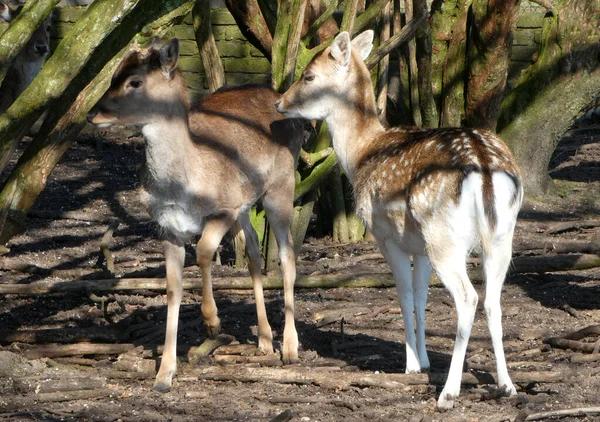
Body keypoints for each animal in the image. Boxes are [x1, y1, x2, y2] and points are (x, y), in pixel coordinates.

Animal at [88, 38, 304, 392]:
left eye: (135, 81)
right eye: (114, 75)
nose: (94, 114)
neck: (185, 187)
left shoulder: (223, 208)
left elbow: (203, 252)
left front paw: (212, 322)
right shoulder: (167, 227)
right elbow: (172, 288)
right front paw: (164, 375)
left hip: (281, 186)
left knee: (287, 256)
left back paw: (289, 348)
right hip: (246, 206)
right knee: (255, 251)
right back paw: (263, 340)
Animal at [274, 30, 524, 408]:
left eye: (309, 76)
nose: (279, 103)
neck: (361, 154)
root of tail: (483, 165)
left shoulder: (385, 236)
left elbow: (404, 294)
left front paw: (411, 365)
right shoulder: (419, 247)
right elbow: (421, 297)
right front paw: (423, 359)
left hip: (444, 236)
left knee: (469, 298)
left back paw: (449, 392)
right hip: (500, 236)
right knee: (493, 300)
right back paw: (507, 384)